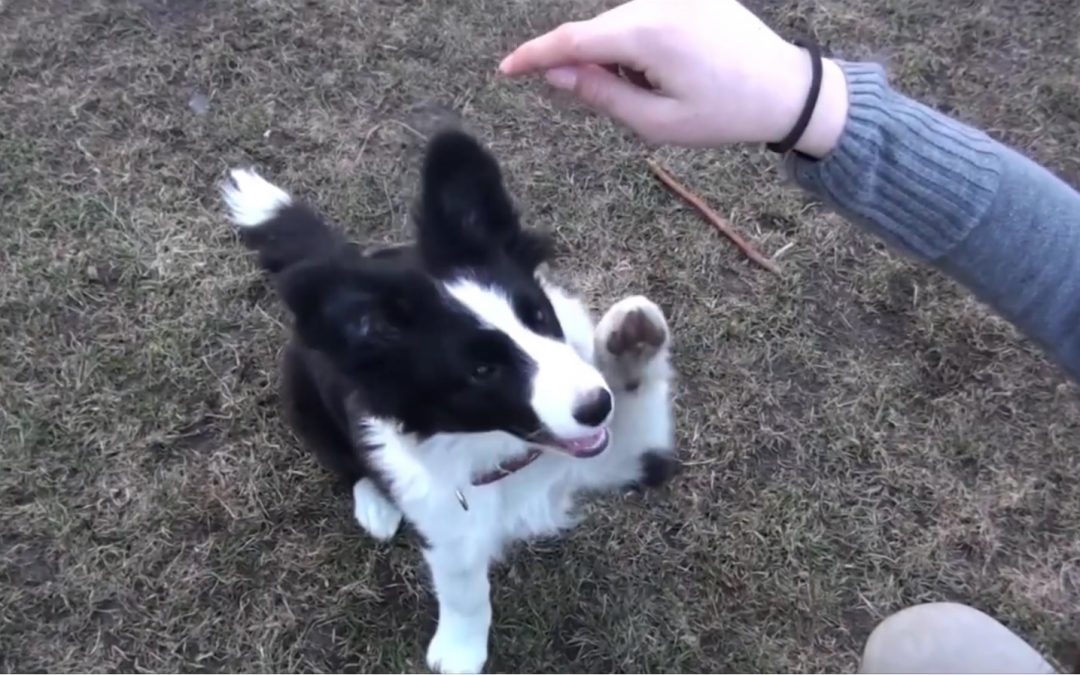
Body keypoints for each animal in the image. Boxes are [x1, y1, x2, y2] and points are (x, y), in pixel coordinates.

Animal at [220, 129, 673, 669]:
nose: (596, 406)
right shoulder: (448, 526)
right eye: (481, 371)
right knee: (347, 462)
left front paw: (630, 343)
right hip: (304, 403)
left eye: (539, 316)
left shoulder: (621, 456)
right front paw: (459, 651)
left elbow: (635, 417)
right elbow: (464, 590)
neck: (505, 455)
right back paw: (375, 502)